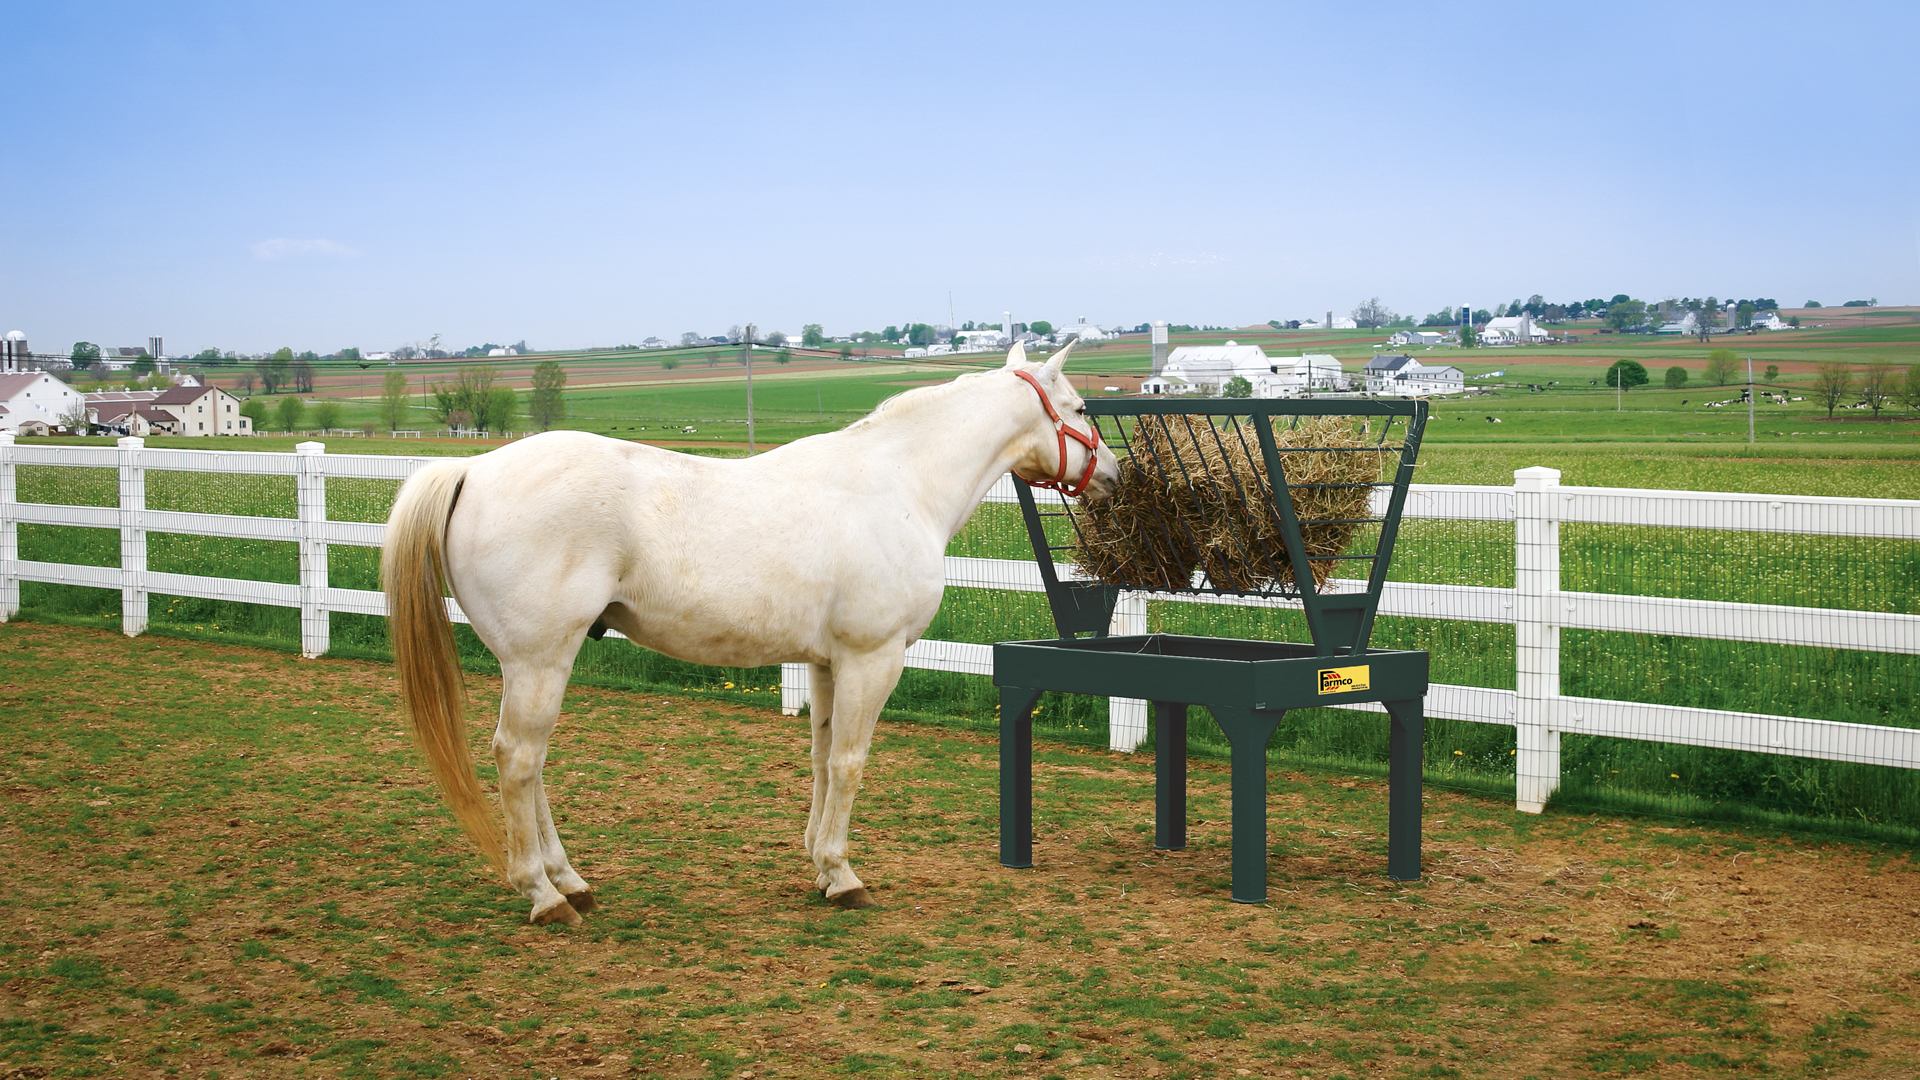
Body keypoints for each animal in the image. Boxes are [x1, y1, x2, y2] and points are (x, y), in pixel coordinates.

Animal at [380, 340, 1121, 922]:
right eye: (1082, 409)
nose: (1114, 477)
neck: (898, 485)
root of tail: (473, 468)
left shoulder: (827, 663)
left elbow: (823, 760)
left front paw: (820, 866)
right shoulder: (873, 658)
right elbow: (850, 764)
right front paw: (843, 875)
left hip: (536, 664)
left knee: (528, 769)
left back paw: (571, 881)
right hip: (539, 660)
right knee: (518, 761)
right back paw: (543, 894)